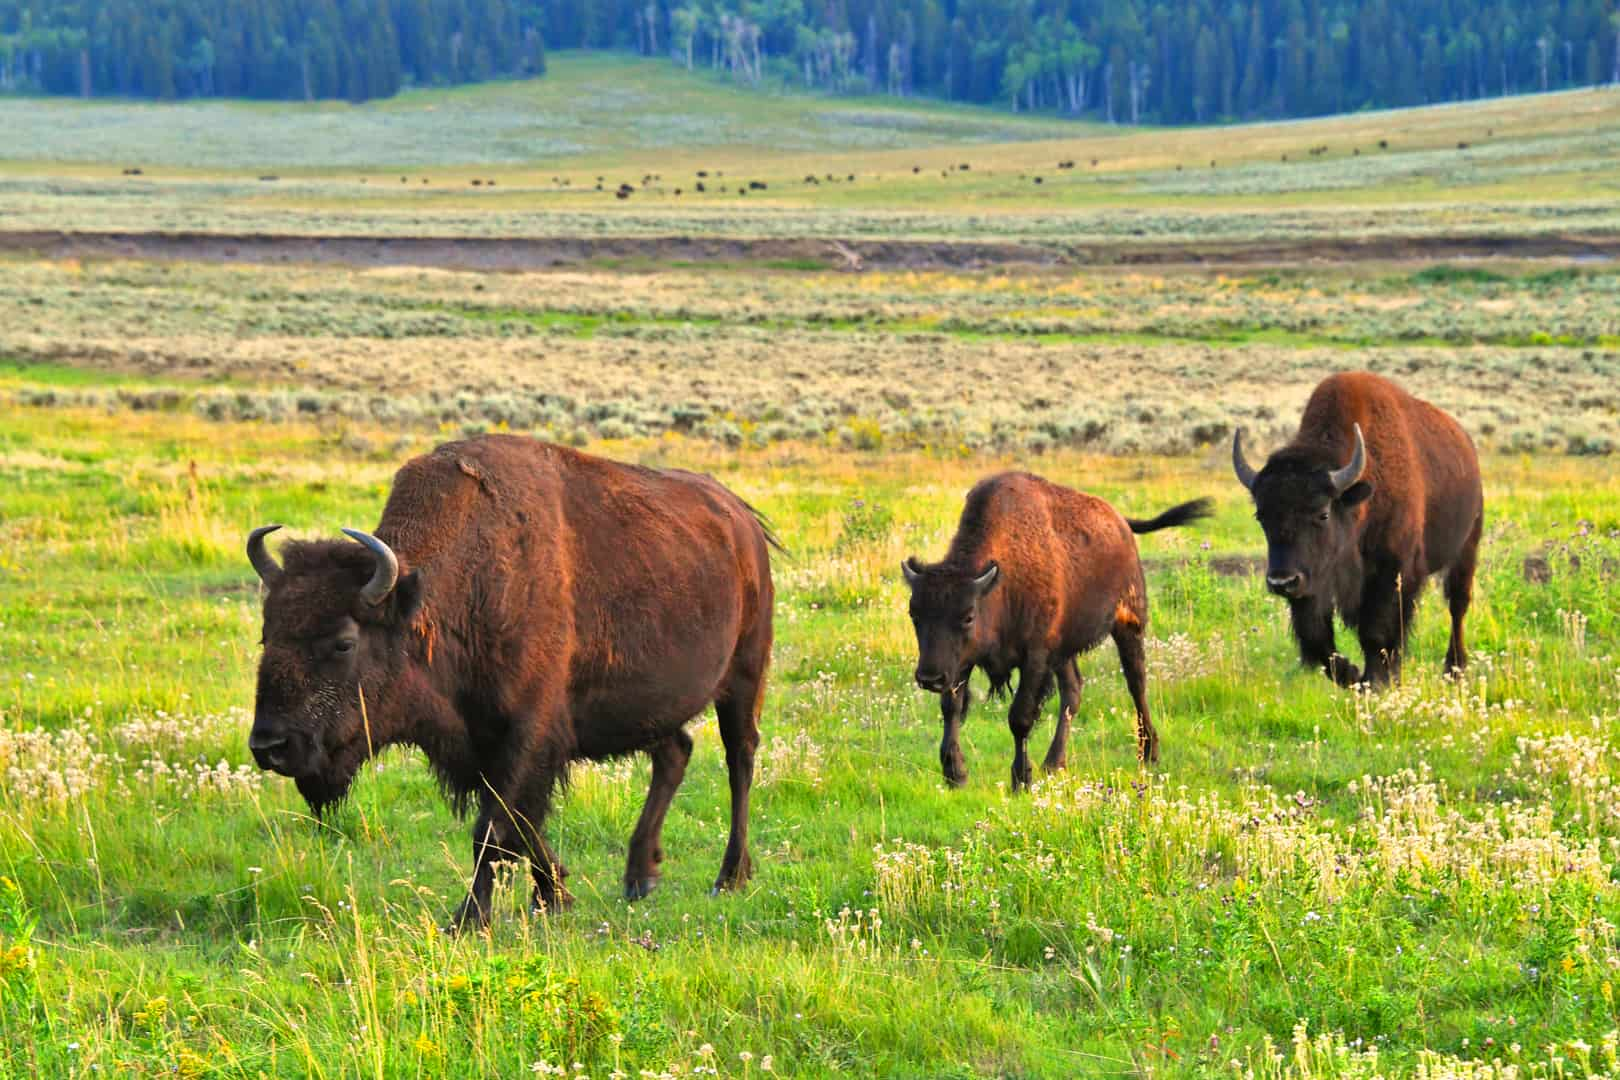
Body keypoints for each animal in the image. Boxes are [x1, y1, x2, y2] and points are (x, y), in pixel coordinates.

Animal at [243, 437, 780, 932]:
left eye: (343, 643)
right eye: (267, 634)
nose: (270, 746)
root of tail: (743, 521)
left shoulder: (527, 732)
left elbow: (496, 826)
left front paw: (468, 919)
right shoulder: (485, 741)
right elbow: (519, 822)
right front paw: (554, 894)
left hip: (744, 675)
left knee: (739, 759)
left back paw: (729, 877)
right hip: (647, 705)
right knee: (675, 751)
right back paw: (640, 876)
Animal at [900, 472, 1218, 786]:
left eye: (967, 616)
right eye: (914, 613)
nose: (929, 678)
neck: (998, 583)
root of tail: (1121, 522)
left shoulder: (1035, 657)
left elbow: (1020, 718)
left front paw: (1021, 779)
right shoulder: (961, 662)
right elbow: (951, 707)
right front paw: (955, 774)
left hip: (1128, 624)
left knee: (1136, 683)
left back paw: (1149, 753)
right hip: (1065, 650)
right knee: (1073, 692)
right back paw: (1054, 764)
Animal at [1231, 372, 1483, 689]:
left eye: (1323, 513)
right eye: (1261, 516)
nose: (1281, 582)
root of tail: (1467, 445)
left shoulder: (1391, 573)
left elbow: (1376, 632)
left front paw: (1374, 682)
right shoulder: (1313, 582)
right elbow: (1316, 636)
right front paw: (1352, 674)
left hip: (1466, 548)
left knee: (1457, 606)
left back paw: (1454, 670)